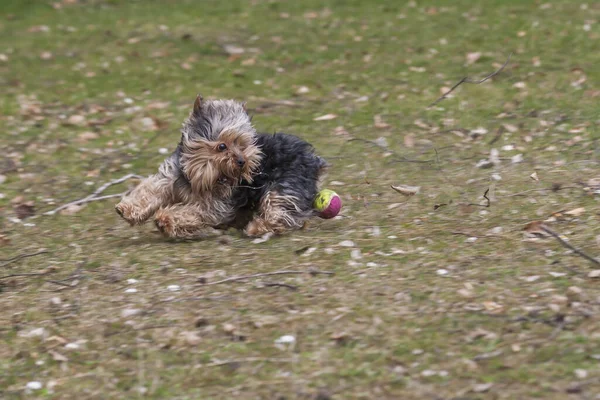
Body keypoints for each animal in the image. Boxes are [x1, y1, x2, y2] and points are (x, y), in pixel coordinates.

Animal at [114, 94, 326, 238]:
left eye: (243, 145)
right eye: (221, 146)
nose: (242, 161)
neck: (200, 174)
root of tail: (314, 160)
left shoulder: (215, 205)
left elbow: (194, 211)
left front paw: (165, 220)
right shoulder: (169, 177)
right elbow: (151, 191)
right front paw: (127, 209)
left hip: (285, 185)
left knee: (280, 212)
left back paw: (256, 227)